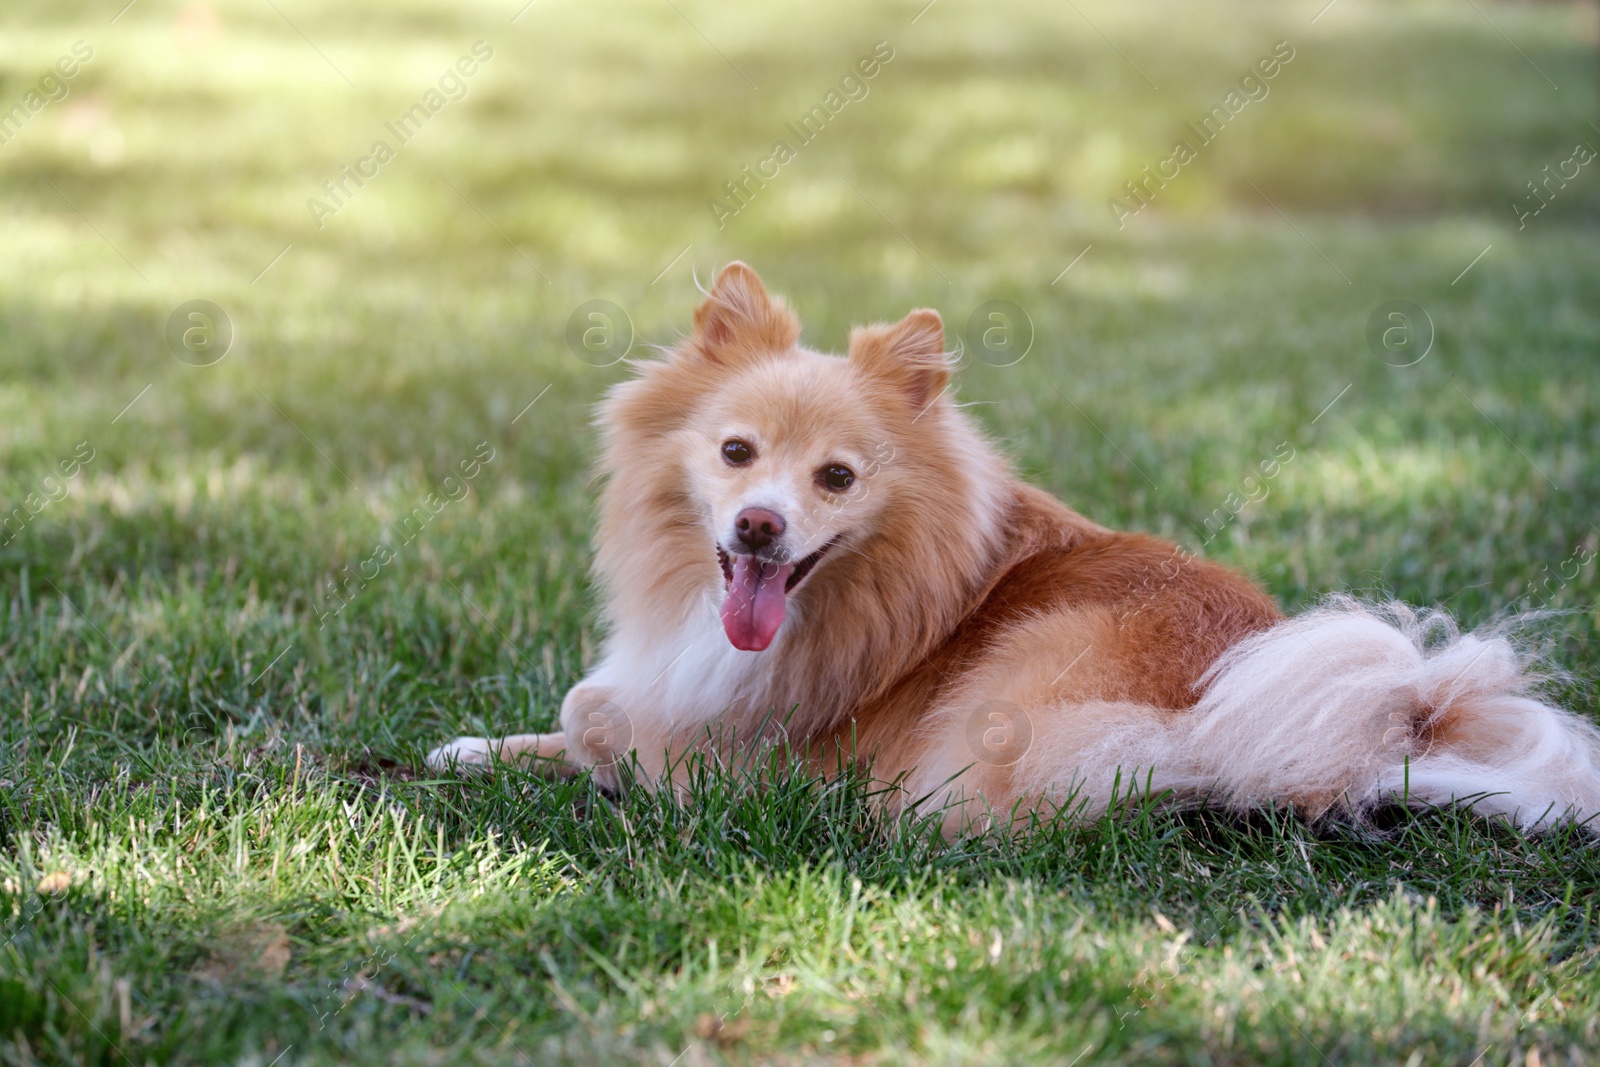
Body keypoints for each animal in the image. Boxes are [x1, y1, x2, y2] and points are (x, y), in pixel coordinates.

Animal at [432, 260, 1600, 831]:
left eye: (836, 478)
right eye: (735, 452)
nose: (759, 523)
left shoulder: (741, 756)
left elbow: (598, 712)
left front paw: (554, 746)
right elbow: (580, 704)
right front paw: (472, 747)